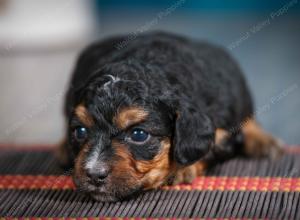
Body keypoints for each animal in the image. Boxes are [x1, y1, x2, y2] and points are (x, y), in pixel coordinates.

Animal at [59, 31, 284, 202]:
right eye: (80, 131)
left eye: (139, 135)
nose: (94, 174)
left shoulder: (224, 131)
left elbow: (209, 145)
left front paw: (183, 168)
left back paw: (264, 141)